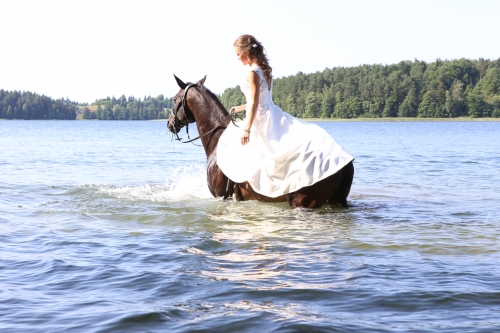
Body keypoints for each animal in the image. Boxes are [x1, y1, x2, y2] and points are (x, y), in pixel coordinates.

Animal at [166, 75, 354, 208]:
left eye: (175, 99)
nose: (169, 123)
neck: (217, 140)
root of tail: (343, 161)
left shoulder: (223, 197)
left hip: (304, 202)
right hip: (334, 201)